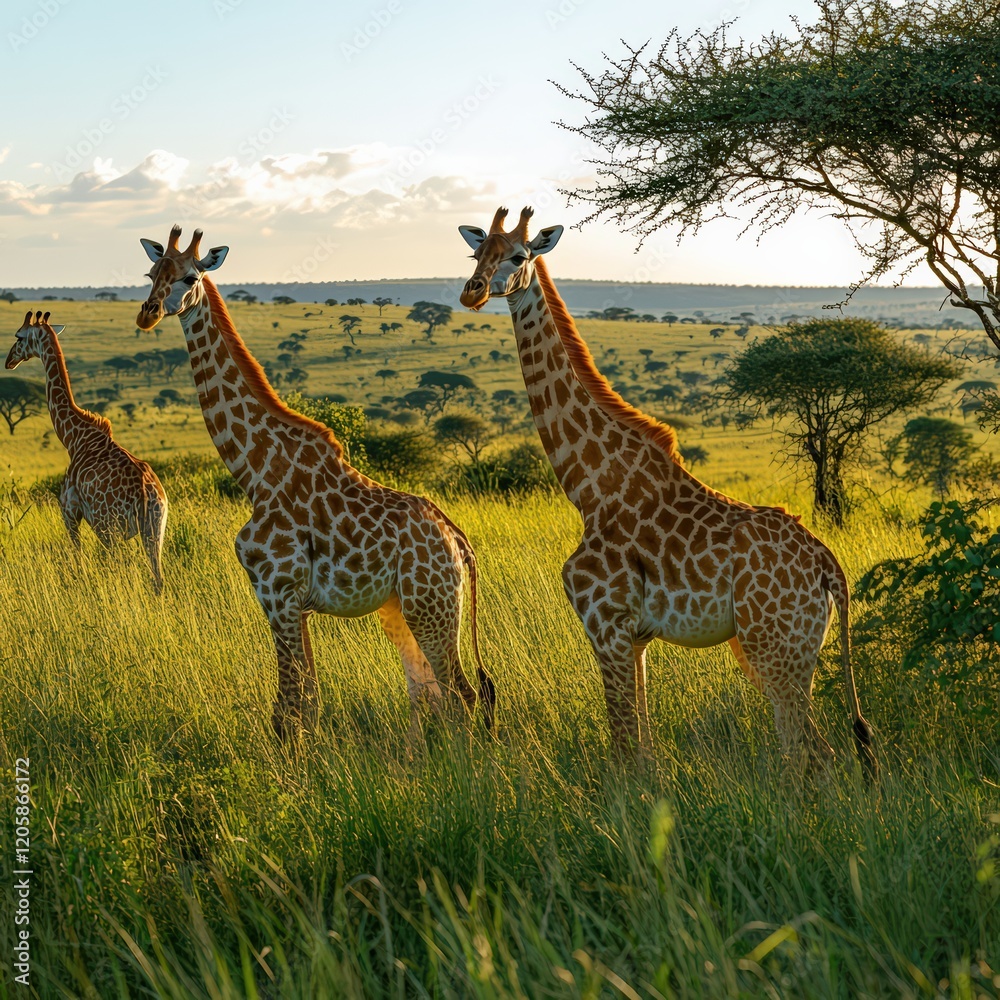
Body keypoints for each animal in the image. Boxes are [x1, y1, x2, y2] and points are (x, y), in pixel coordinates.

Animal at [5, 310, 168, 592]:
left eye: (19, 336)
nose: (8, 360)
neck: (74, 436)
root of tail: (147, 496)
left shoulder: (69, 510)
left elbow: (77, 554)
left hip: (109, 528)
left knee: (120, 567)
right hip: (155, 529)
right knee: (157, 578)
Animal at [134, 225, 494, 741]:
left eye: (189, 277)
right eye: (150, 273)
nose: (147, 313)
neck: (254, 471)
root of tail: (460, 544)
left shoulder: (277, 592)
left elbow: (288, 707)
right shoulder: (294, 604)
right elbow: (308, 701)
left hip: (432, 607)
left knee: (464, 695)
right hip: (404, 610)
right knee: (436, 695)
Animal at [457, 207, 877, 781]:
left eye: (519, 257)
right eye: (476, 253)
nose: (473, 291)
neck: (587, 486)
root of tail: (829, 566)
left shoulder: (606, 623)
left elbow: (621, 747)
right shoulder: (636, 638)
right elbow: (645, 749)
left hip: (774, 646)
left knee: (817, 753)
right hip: (788, 649)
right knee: (806, 749)